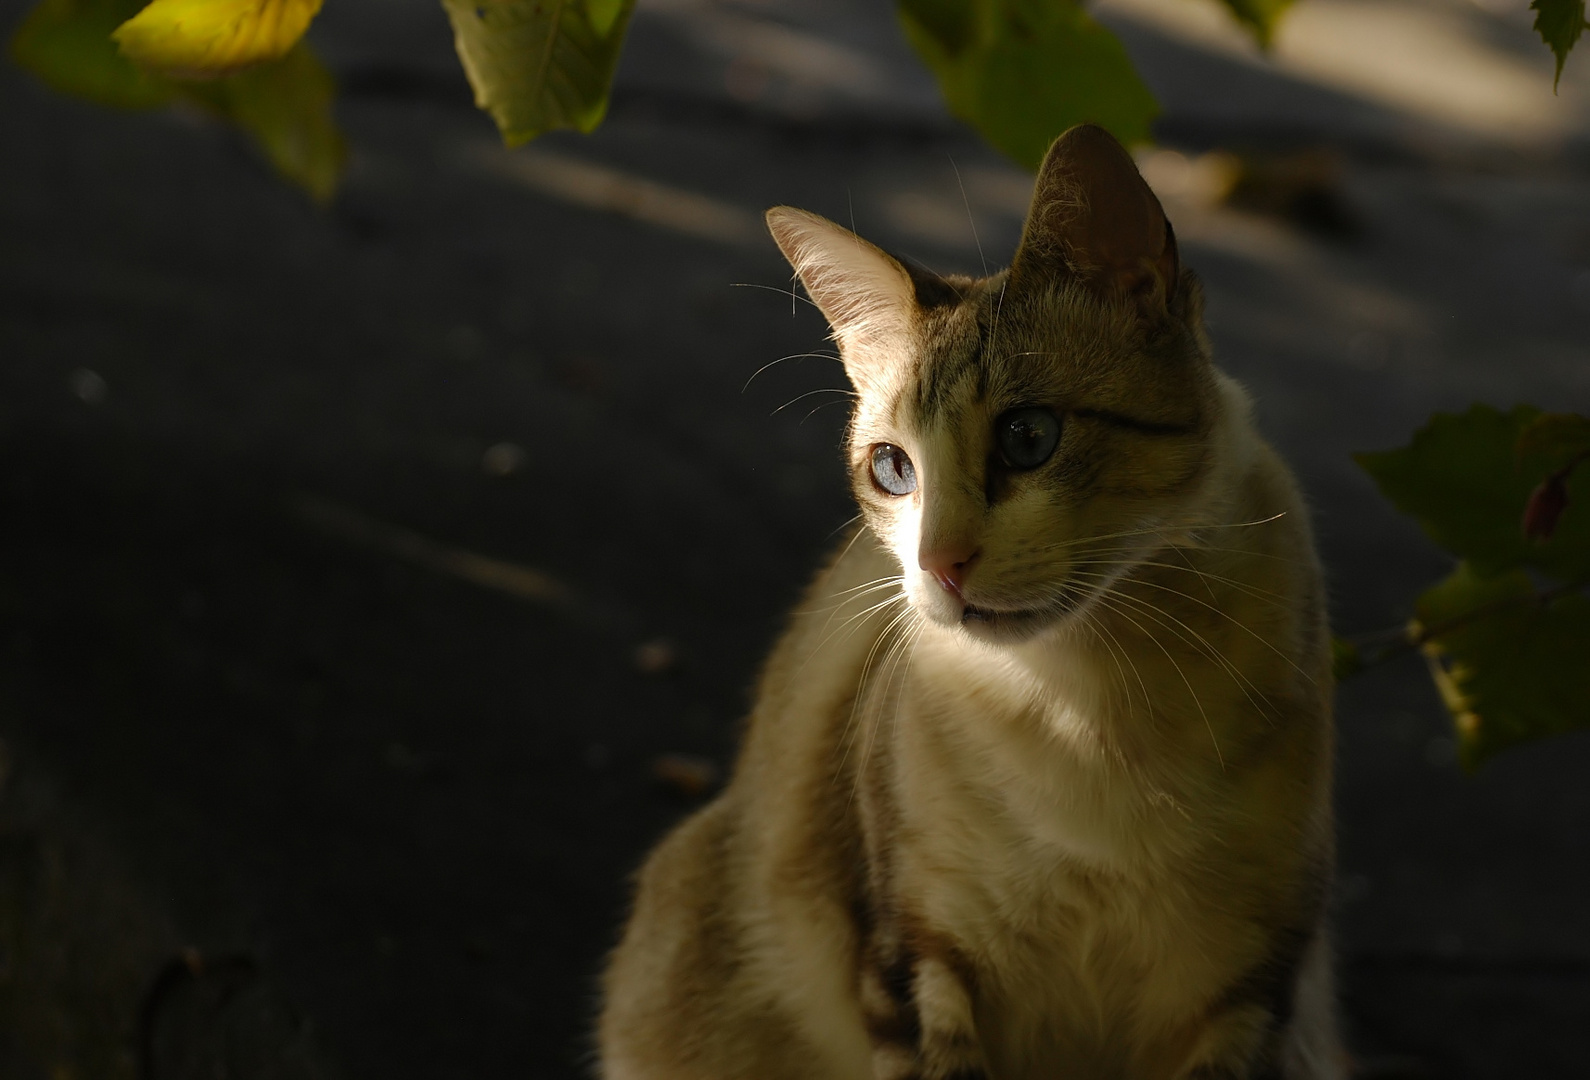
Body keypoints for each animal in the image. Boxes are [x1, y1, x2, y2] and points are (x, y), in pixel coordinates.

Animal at [597, 122, 1341, 1075]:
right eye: (892, 469)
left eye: (1028, 438)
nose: (938, 565)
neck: (1092, 719)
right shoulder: (918, 963)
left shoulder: (1249, 992)